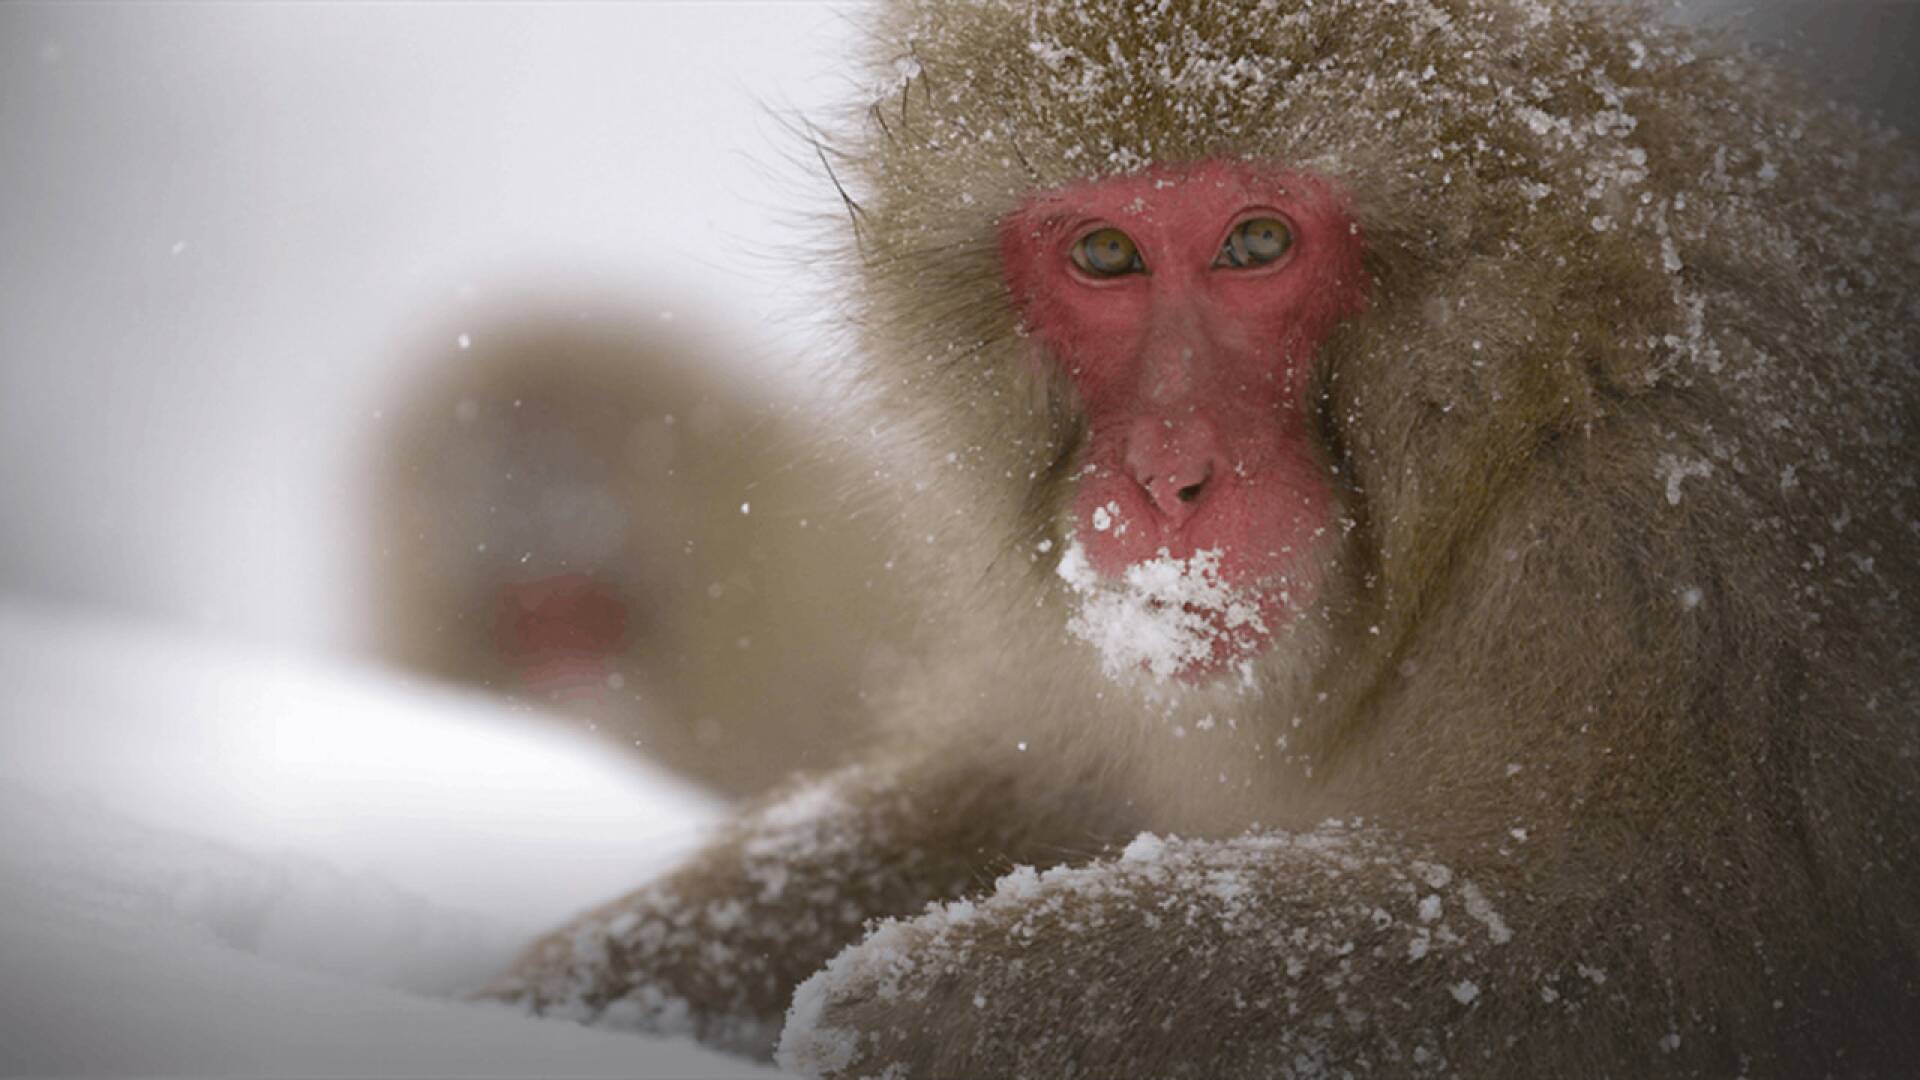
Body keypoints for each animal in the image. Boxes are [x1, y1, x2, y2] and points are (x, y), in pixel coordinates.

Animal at [483, 0, 1920, 1068]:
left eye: (1257, 242)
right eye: (1107, 255)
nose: (1171, 475)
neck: (1548, 381)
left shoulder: (1686, 550)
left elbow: (1646, 959)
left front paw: (925, 1011)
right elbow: (1037, 799)